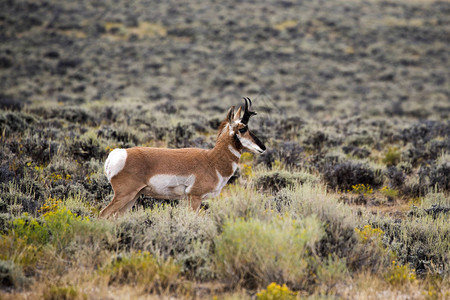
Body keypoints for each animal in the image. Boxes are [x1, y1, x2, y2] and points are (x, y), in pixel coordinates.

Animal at [100, 98, 266, 218]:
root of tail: (118, 154)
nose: (263, 147)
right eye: (243, 128)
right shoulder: (195, 198)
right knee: (103, 214)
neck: (212, 160)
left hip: (133, 197)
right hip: (124, 195)